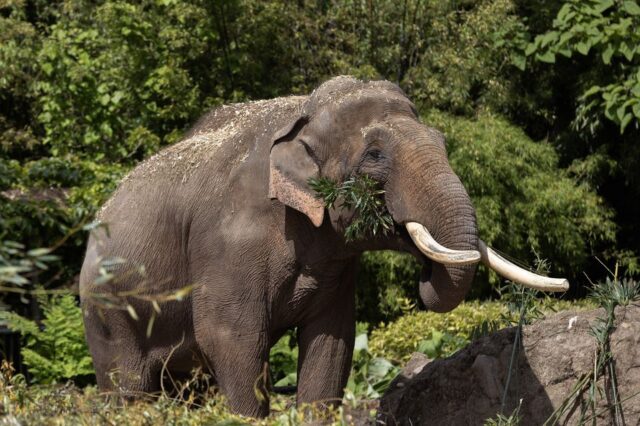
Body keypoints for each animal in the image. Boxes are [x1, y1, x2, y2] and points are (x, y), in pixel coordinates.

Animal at [79, 75, 564, 416]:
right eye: (374, 155)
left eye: (443, 142)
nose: (425, 277)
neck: (302, 113)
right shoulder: (227, 243)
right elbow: (232, 339)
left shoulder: (335, 259)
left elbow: (332, 343)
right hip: (105, 310)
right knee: (128, 385)